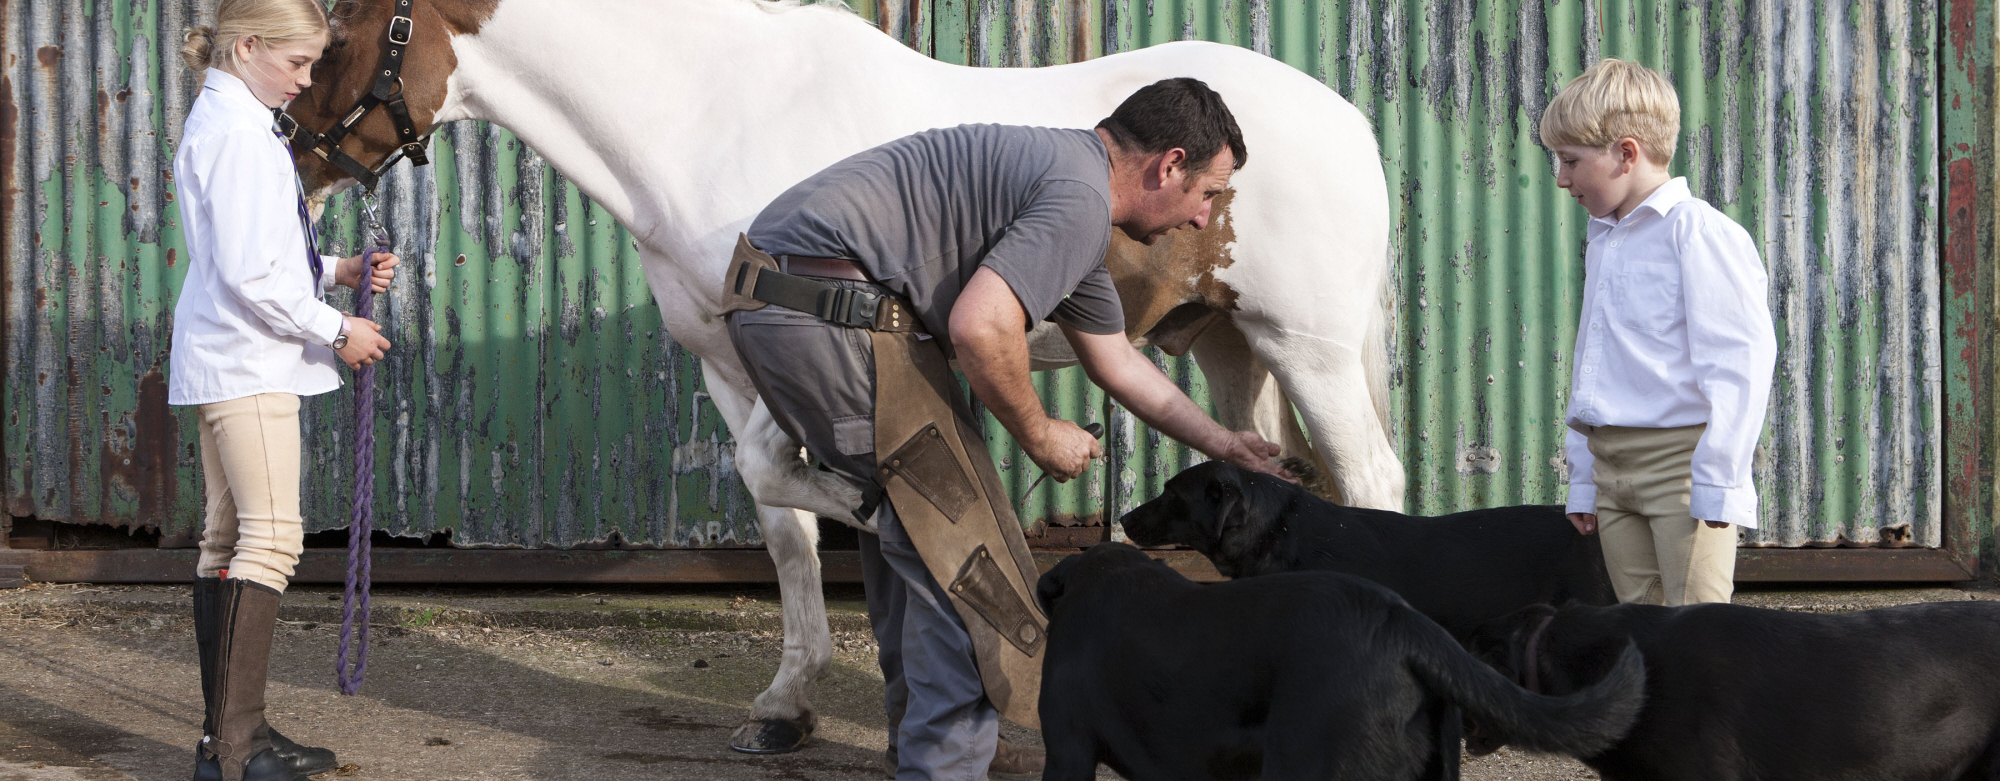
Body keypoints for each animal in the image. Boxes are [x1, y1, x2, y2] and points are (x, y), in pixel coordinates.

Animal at [296, 0, 1400, 748]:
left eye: (344, 28)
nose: (293, 156)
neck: (705, 112)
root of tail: (1348, 120)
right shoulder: (726, 363)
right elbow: (781, 524)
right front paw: (786, 704)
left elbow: (785, 478)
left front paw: (876, 516)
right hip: (1227, 348)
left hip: (1305, 349)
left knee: (1371, 482)